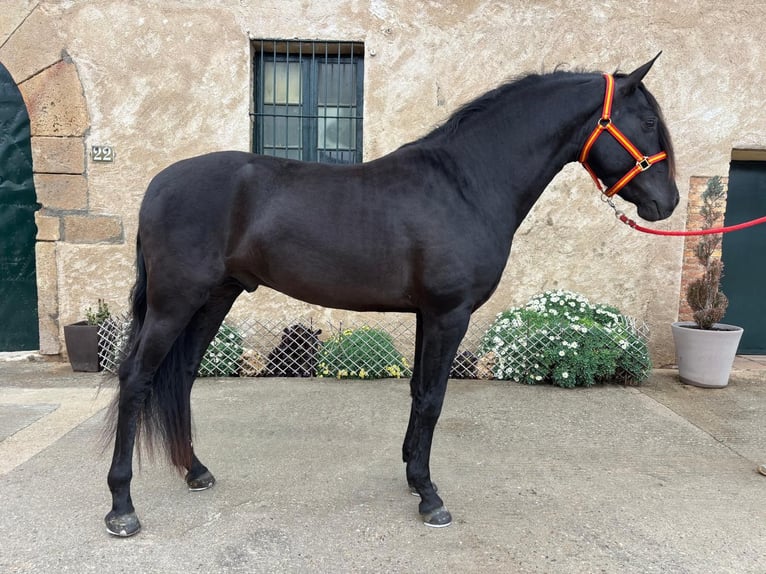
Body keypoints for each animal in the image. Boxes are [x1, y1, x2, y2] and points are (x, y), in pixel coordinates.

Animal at [104, 55, 678, 537]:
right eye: (647, 121)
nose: (667, 202)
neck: (465, 185)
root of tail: (157, 186)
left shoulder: (429, 314)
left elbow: (419, 394)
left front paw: (412, 476)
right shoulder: (449, 314)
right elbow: (433, 399)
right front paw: (430, 497)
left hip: (214, 298)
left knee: (179, 376)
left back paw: (195, 471)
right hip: (175, 302)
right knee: (136, 379)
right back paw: (122, 507)